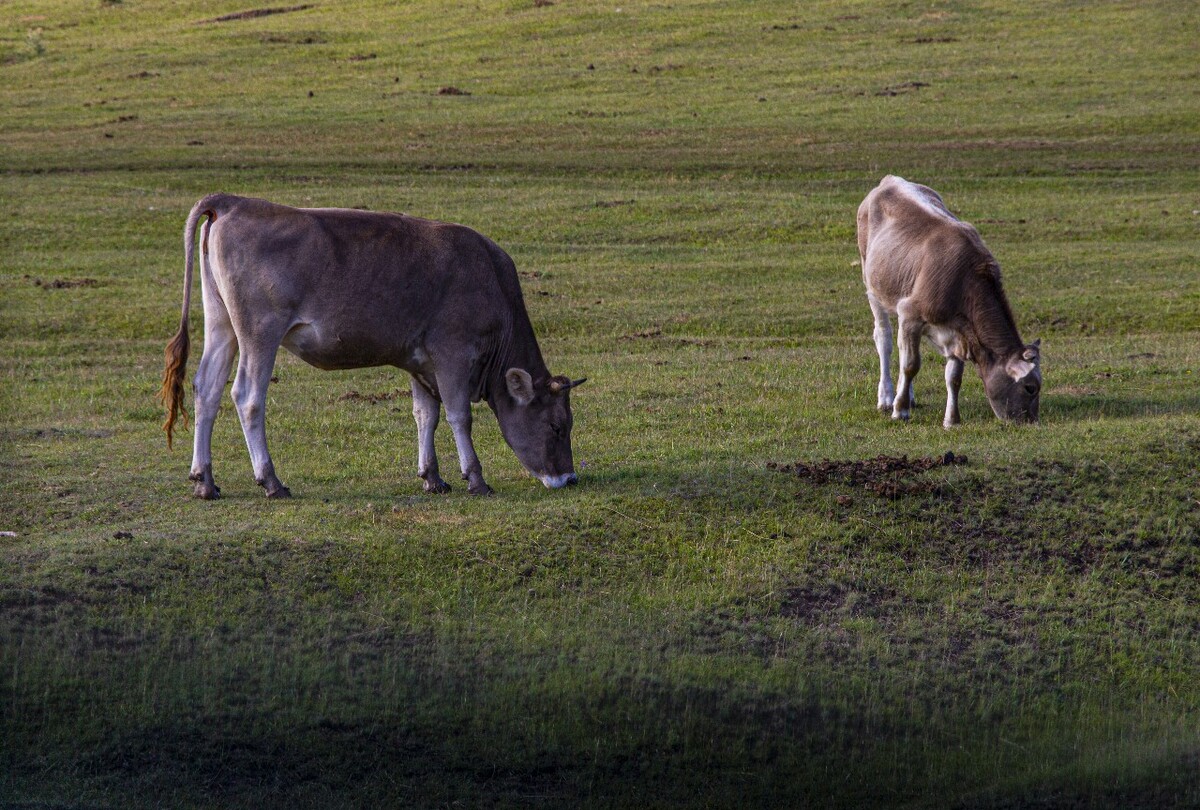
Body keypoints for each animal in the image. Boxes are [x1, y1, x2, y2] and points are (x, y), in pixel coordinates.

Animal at [160, 196, 585, 501]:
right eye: (557, 426)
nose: (570, 477)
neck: (490, 279)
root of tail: (234, 201)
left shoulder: (420, 361)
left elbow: (425, 414)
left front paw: (433, 477)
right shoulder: (452, 352)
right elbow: (459, 415)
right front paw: (475, 478)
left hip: (222, 324)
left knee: (207, 388)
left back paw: (205, 480)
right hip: (260, 330)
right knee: (247, 396)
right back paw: (271, 481)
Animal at [854, 175, 1041, 427]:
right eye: (1030, 387)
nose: (1031, 421)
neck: (965, 280)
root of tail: (891, 180)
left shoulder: (959, 331)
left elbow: (953, 377)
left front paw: (951, 420)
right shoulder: (910, 314)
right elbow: (910, 365)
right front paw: (899, 410)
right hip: (873, 286)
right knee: (884, 339)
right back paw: (886, 398)